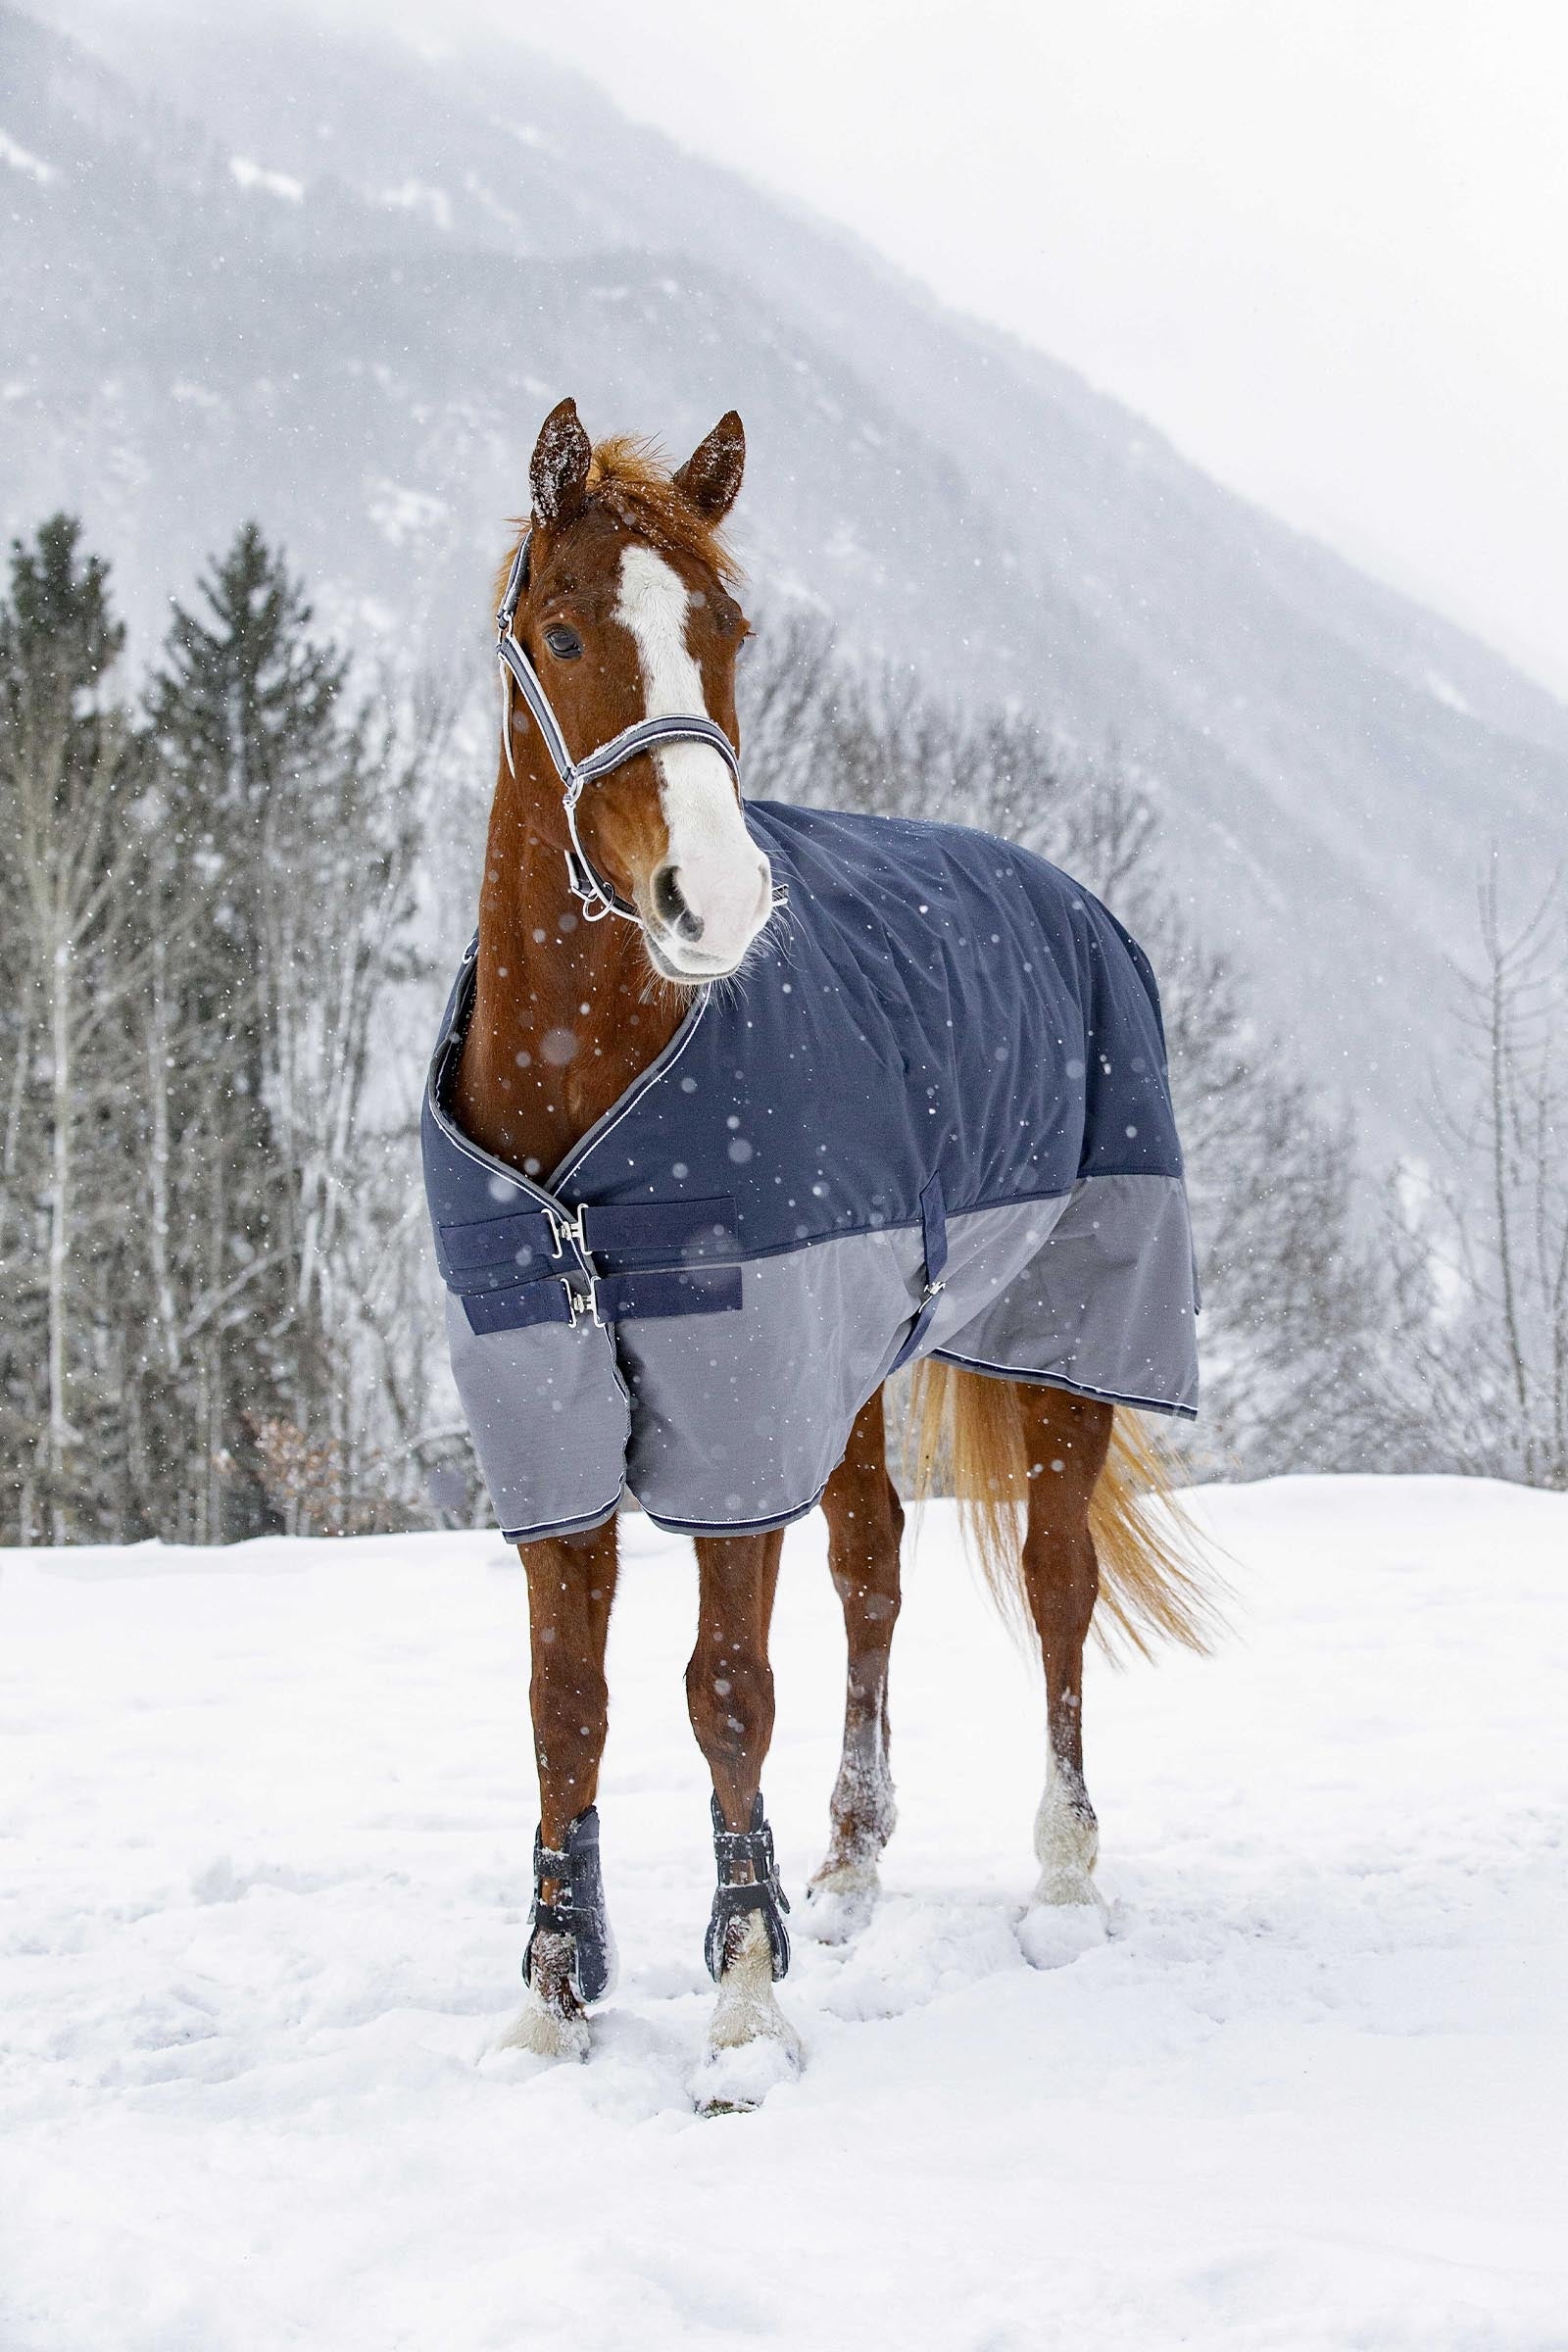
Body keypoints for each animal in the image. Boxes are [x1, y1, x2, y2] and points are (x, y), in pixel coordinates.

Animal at [432, 397, 1215, 2094]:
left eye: (726, 630)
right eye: (565, 630)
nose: (715, 898)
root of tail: (1072, 898)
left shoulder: (735, 1425)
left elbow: (726, 1696)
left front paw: (740, 2007)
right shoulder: (551, 1428)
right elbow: (566, 1705)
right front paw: (551, 1999)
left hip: (1066, 1342)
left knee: (1057, 1586)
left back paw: (1064, 1884)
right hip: (847, 1365)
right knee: (874, 1568)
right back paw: (850, 1868)